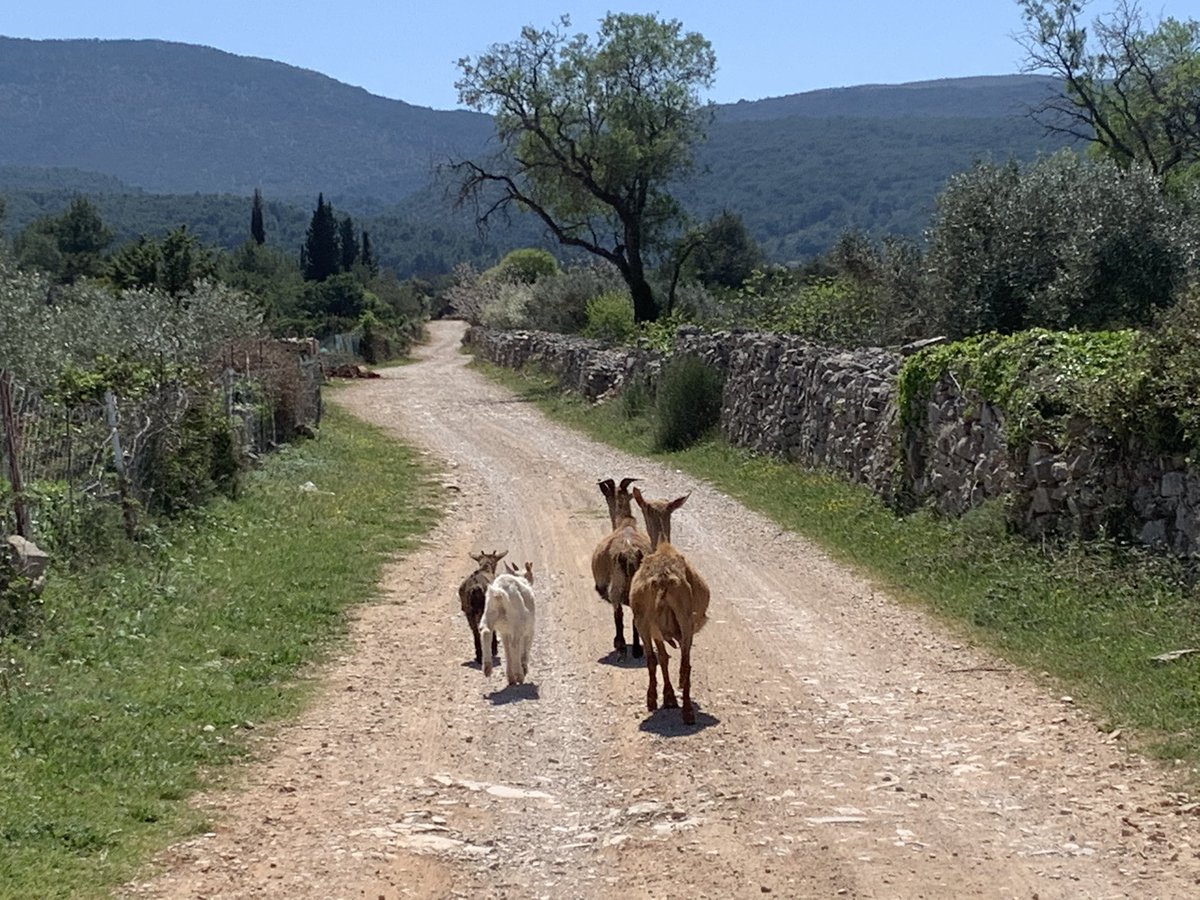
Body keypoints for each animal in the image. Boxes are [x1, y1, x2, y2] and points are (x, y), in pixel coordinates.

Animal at [590, 477, 651, 659]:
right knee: (636, 617)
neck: (624, 523)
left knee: (619, 614)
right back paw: (637, 649)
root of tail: (630, 552)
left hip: (616, 585)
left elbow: (618, 615)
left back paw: (622, 645)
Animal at [629, 488, 710, 725]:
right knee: (683, 662)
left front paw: (668, 697)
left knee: (653, 658)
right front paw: (671, 697)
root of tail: (663, 580)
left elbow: (662, 658)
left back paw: (655, 700)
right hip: (683, 618)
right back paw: (686, 711)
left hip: (643, 619)